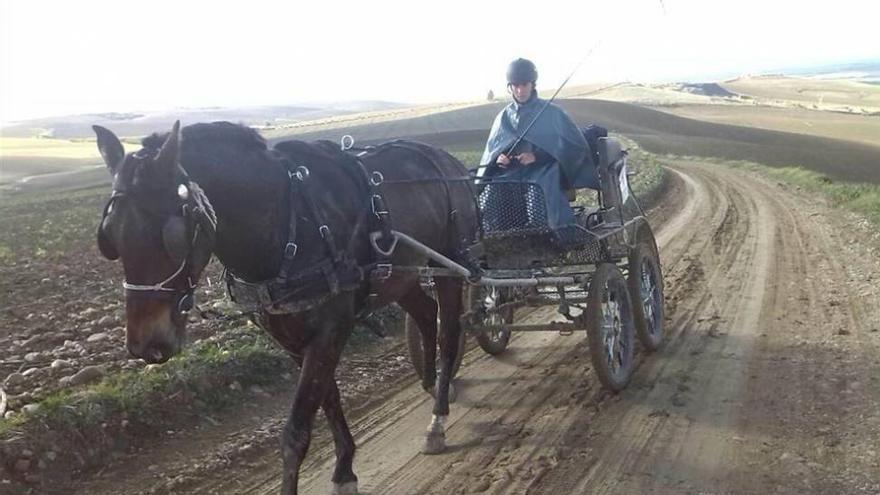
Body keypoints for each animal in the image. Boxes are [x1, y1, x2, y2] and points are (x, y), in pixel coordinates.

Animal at [93, 121, 478, 495]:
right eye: (111, 236)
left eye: (171, 236)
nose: (146, 345)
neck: (286, 225)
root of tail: (448, 161)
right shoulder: (288, 336)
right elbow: (328, 399)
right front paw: (344, 467)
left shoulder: (331, 329)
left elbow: (296, 429)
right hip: (402, 276)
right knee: (426, 315)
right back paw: (431, 383)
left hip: (449, 263)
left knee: (449, 333)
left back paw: (438, 417)